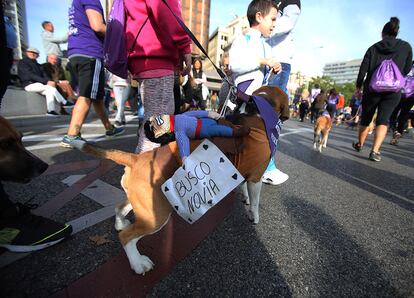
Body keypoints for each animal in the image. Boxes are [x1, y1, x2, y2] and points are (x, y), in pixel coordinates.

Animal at [73, 85, 288, 274]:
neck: (257, 113)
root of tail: (136, 158)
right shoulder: (256, 177)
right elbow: (256, 200)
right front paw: (254, 215)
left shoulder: (245, 173)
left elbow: (244, 188)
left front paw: (245, 198)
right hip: (156, 216)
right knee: (126, 237)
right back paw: (138, 263)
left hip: (143, 203)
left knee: (120, 208)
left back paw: (120, 223)